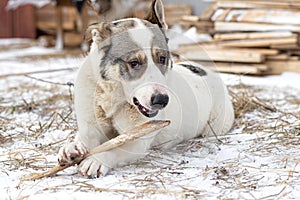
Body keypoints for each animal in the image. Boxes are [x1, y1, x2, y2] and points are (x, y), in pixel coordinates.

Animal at [56, 0, 234, 178]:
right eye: (134, 62)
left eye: (162, 58)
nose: (162, 100)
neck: (114, 101)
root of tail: (205, 69)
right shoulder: (92, 126)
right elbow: (85, 138)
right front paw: (73, 147)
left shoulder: (137, 140)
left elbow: (115, 150)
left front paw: (97, 160)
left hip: (215, 126)